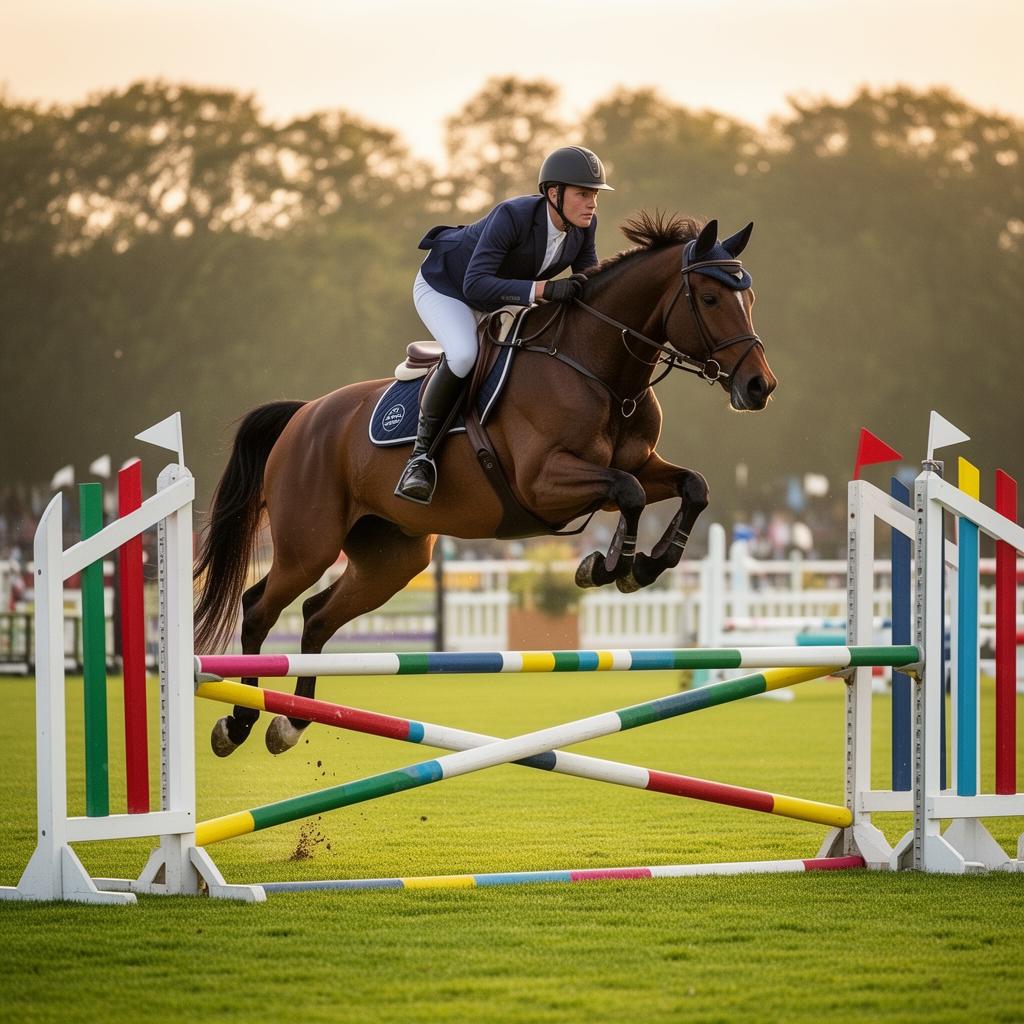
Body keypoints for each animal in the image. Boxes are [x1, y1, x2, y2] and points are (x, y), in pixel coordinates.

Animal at [194, 211, 778, 756]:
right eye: (709, 297)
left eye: (749, 298)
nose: (760, 387)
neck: (600, 371)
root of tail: (302, 416)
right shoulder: (544, 482)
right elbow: (628, 493)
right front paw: (610, 566)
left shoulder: (641, 465)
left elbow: (692, 487)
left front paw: (644, 566)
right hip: (308, 546)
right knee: (259, 608)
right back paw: (239, 721)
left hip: (392, 558)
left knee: (316, 616)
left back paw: (290, 722)